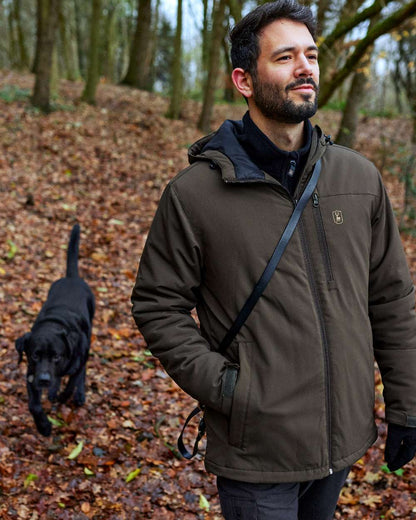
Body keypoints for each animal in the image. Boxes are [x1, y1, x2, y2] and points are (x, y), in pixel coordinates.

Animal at [15, 225, 94, 436]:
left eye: (57, 356)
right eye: (35, 355)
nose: (43, 380)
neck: (54, 325)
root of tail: (71, 278)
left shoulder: (75, 362)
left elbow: (71, 384)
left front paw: (64, 396)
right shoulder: (32, 373)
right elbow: (33, 405)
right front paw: (43, 426)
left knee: (80, 372)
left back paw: (77, 393)